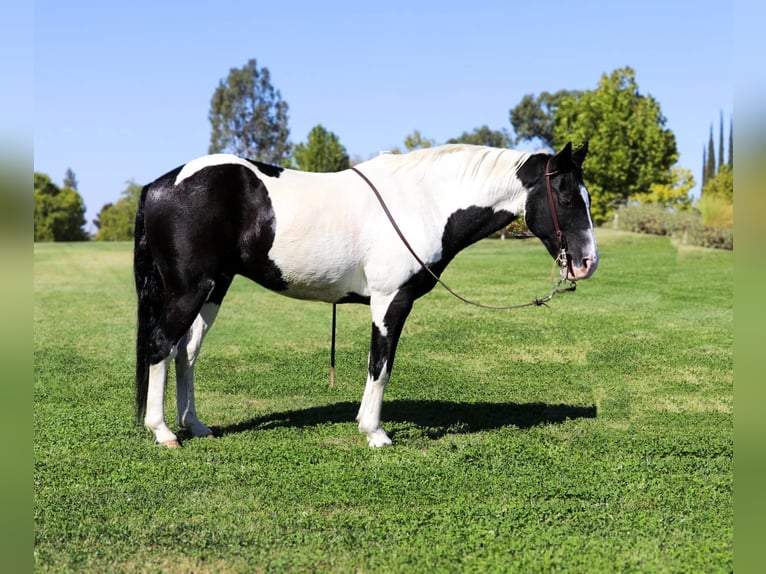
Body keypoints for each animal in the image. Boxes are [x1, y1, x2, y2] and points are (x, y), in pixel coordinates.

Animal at [134, 141, 598, 448]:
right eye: (566, 197)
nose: (587, 262)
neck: (424, 202)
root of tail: (158, 185)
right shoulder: (391, 301)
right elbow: (381, 364)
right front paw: (375, 433)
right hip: (189, 290)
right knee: (160, 345)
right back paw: (163, 432)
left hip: (214, 288)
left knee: (186, 351)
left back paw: (195, 425)